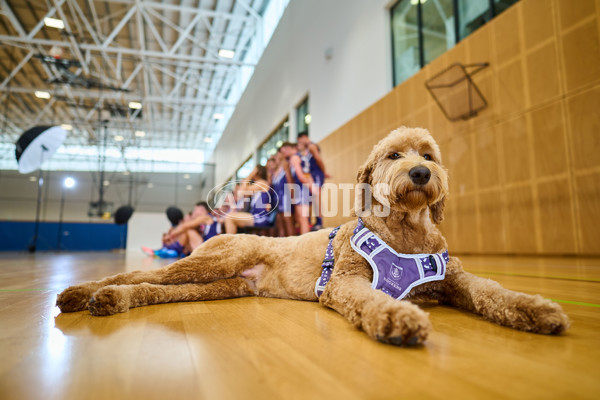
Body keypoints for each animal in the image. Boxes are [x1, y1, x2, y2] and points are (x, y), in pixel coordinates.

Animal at [57, 127, 572, 344]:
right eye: (393, 155)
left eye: (429, 154)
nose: (422, 173)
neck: (405, 230)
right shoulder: (345, 281)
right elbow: (373, 300)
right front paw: (397, 319)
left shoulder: (454, 280)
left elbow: (492, 290)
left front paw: (536, 309)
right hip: (215, 260)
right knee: (134, 275)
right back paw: (82, 293)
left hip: (223, 285)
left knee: (150, 288)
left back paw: (109, 301)